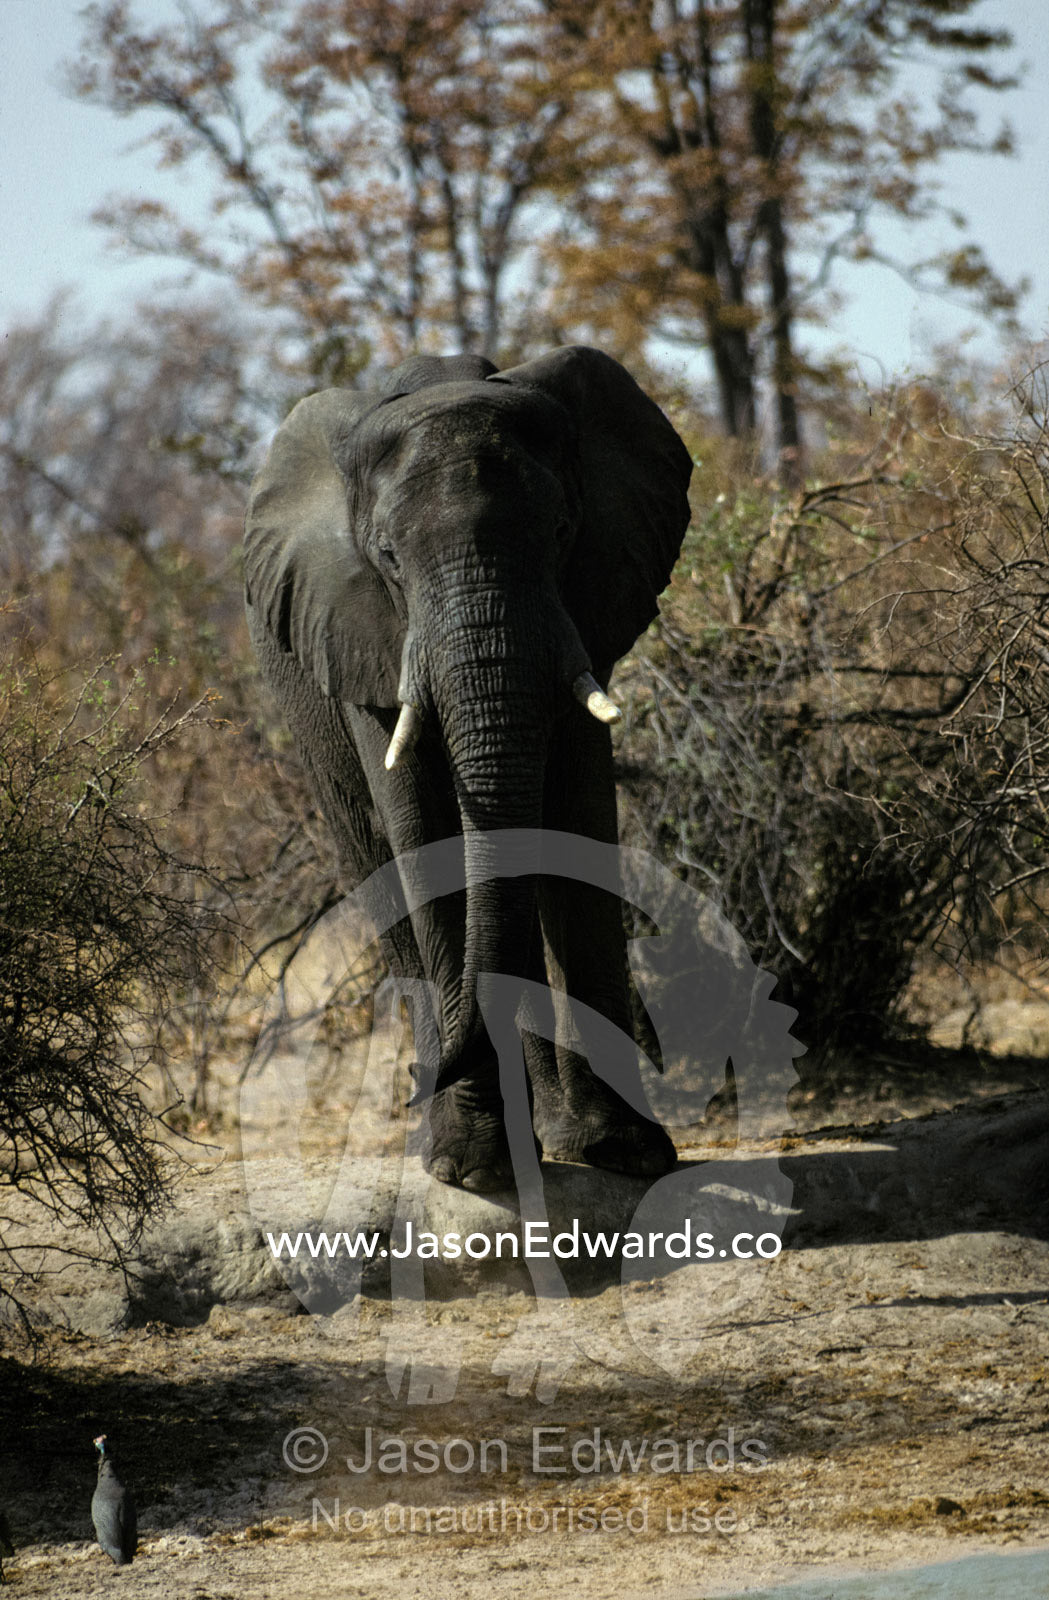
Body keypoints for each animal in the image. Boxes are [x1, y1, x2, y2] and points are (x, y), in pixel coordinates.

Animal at [244, 345, 693, 1193]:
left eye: (561, 531)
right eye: (388, 557)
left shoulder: (583, 607)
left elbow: (576, 815)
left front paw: (628, 1153)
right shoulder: (363, 632)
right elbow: (421, 828)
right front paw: (467, 1165)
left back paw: (548, 1132)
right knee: (379, 868)